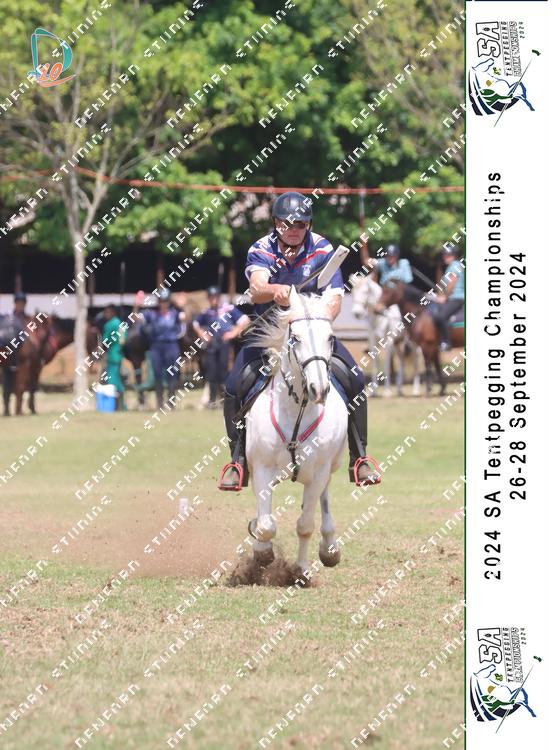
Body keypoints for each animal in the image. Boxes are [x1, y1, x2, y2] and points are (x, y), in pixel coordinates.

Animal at [244, 288, 348, 576]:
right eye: (296, 338)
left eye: (330, 338)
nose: (319, 389)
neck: (297, 409)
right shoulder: (262, 469)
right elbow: (266, 525)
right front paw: (262, 552)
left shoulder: (318, 474)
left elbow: (305, 525)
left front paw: (301, 570)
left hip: (329, 467)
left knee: (323, 500)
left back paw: (329, 547)